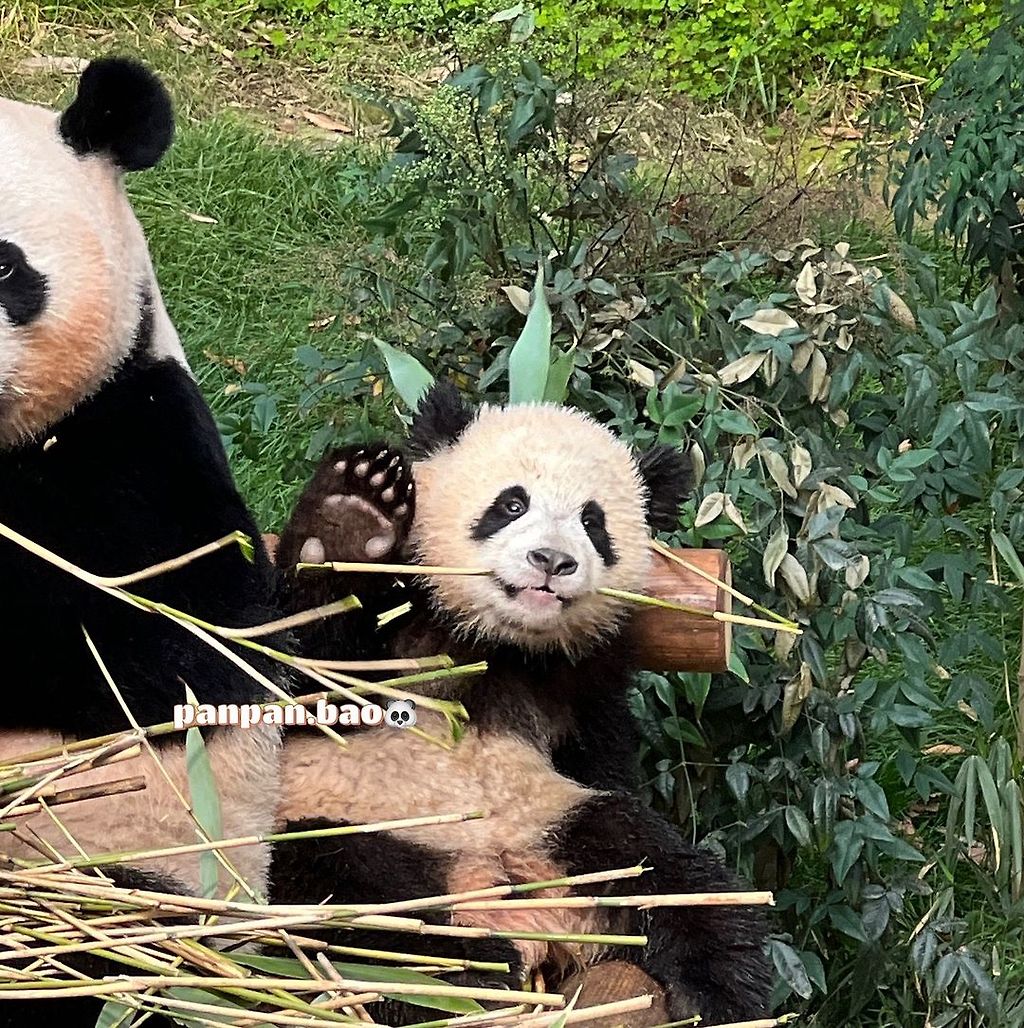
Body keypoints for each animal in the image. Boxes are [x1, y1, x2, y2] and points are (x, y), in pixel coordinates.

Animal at [271, 382, 773, 1025]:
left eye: (592, 520)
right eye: (512, 504)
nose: (552, 562)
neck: (495, 642)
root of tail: (508, 894)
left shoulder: (582, 686)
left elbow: (608, 764)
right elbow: (296, 673)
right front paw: (352, 518)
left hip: (562, 826)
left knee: (680, 884)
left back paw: (716, 994)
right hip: (350, 828)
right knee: (344, 901)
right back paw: (470, 971)